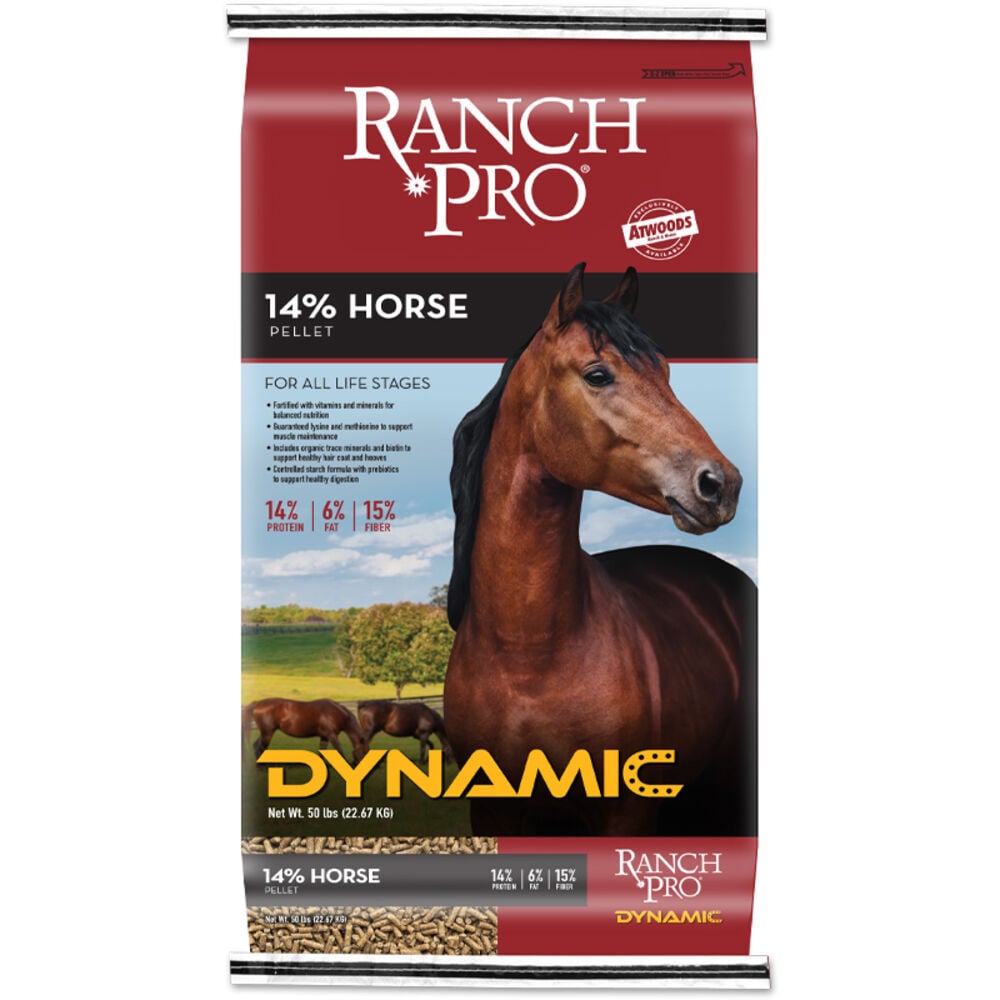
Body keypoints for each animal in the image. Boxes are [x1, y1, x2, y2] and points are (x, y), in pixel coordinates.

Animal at [443, 262, 757, 837]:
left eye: (667, 373)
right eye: (597, 375)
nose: (721, 484)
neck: (528, 656)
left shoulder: (626, 815)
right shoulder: (494, 812)